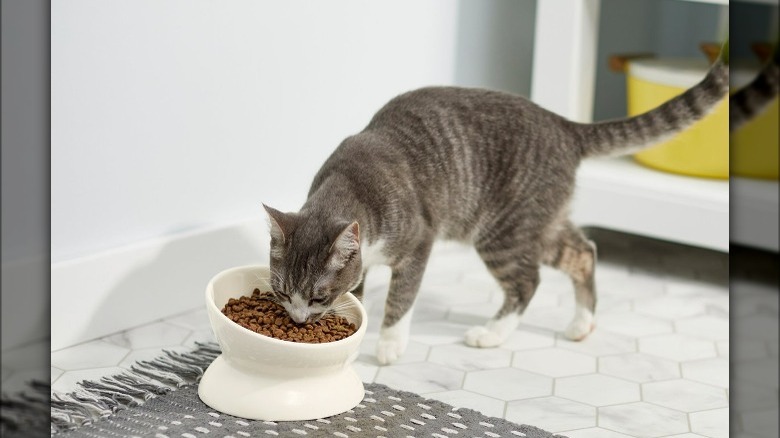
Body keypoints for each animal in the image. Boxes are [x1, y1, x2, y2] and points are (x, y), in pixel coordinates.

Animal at [264, 56, 732, 364]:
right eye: (282, 292)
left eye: (318, 296)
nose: (299, 321)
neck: (348, 185)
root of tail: (564, 127)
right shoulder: (361, 263)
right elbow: (359, 291)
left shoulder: (418, 241)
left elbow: (402, 296)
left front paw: (390, 344)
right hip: (541, 223)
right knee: (584, 252)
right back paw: (582, 323)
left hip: (502, 230)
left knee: (528, 280)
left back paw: (492, 333)